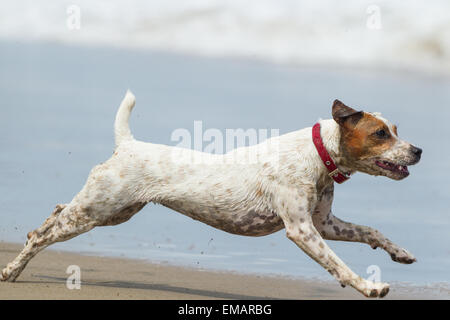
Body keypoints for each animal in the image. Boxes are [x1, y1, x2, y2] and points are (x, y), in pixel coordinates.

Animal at [0, 91, 422, 298]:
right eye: (380, 134)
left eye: (397, 130)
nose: (418, 150)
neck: (318, 155)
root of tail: (128, 145)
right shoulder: (302, 230)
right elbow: (339, 265)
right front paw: (369, 286)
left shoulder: (326, 224)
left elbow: (371, 232)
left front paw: (400, 252)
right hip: (96, 211)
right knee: (43, 234)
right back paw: (12, 270)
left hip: (114, 211)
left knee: (55, 211)